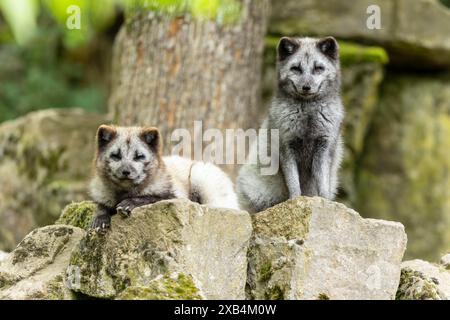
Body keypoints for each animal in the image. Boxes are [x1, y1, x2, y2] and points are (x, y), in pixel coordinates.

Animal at [89, 125, 241, 232]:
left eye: (139, 156)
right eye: (116, 156)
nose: (126, 172)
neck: (123, 193)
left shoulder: (176, 196)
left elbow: (152, 197)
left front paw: (130, 203)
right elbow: (101, 206)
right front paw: (100, 218)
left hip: (200, 177)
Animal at [237, 37, 346, 212]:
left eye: (318, 68)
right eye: (296, 68)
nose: (306, 87)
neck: (308, 114)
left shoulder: (324, 148)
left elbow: (322, 181)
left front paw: (325, 201)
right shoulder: (286, 148)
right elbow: (294, 183)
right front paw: (295, 201)